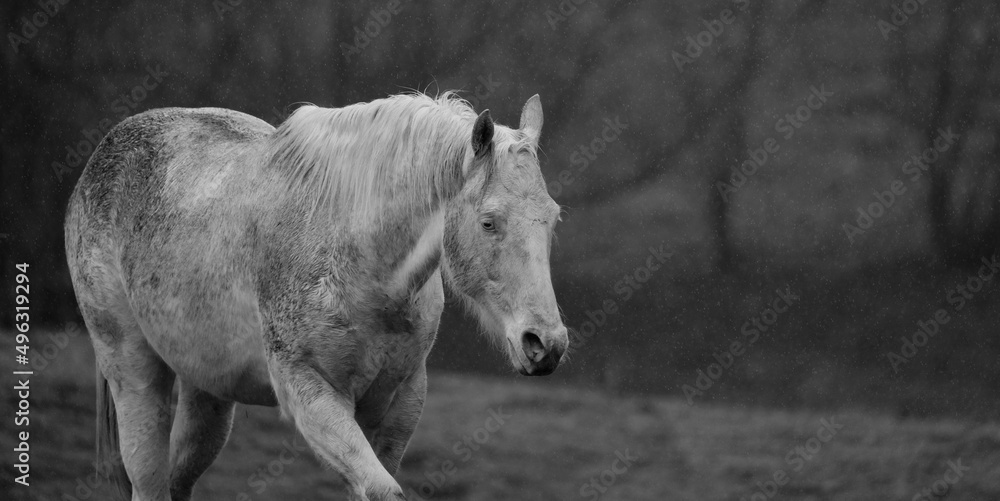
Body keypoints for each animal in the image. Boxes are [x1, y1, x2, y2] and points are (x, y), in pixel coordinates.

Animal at [64, 92, 568, 501]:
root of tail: (105, 152)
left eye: (553, 218)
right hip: (134, 373)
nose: (544, 344)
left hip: (207, 391)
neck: (361, 265)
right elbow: (384, 490)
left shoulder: (400, 400)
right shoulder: (310, 392)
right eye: (489, 222)